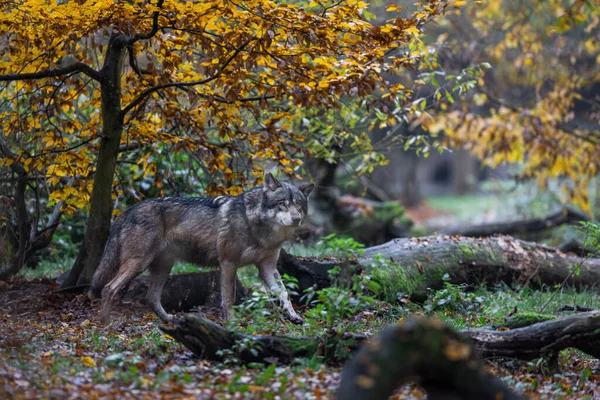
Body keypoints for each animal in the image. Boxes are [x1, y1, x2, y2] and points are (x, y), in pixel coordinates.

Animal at [90, 173, 314, 324]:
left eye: (298, 205)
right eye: (282, 203)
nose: (297, 219)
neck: (257, 226)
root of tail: (127, 211)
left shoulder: (267, 267)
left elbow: (284, 294)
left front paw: (294, 317)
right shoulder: (228, 263)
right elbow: (229, 298)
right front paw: (232, 323)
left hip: (163, 267)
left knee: (151, 298)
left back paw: (170, 321)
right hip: (139, 264)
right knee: (109, 288)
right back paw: (105, 323)